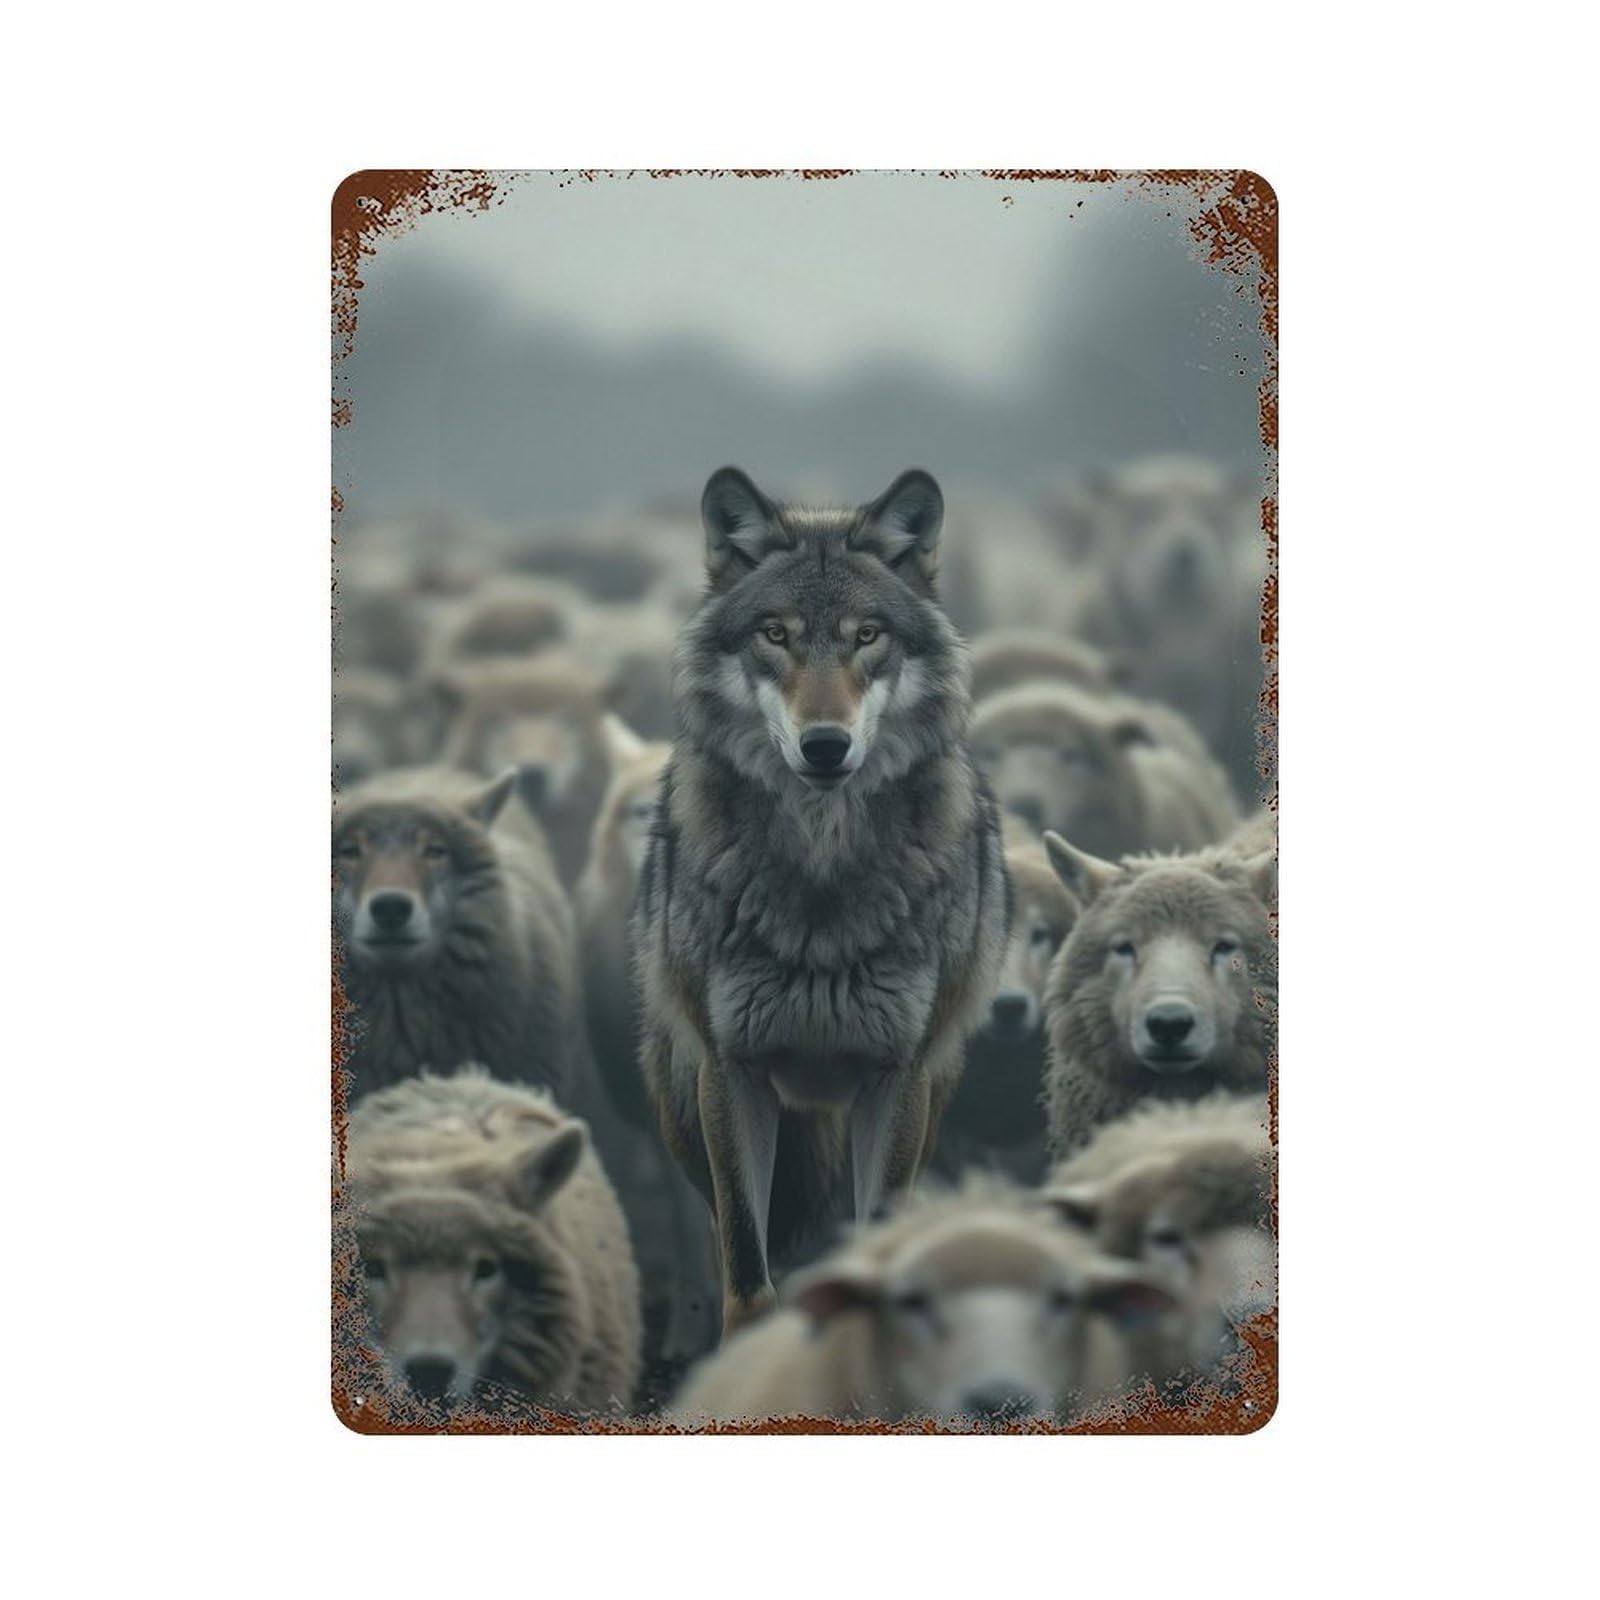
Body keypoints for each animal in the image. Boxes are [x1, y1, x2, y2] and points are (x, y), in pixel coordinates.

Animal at [633, 466, 1010, 1335]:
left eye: (867, 636)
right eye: (775, 634)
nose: (826, 746)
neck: (820, 875)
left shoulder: (896, 1079)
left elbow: (876, 1243)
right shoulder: (730, 1072)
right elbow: (746, 1261)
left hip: (930, 1095)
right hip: (681, 1106)